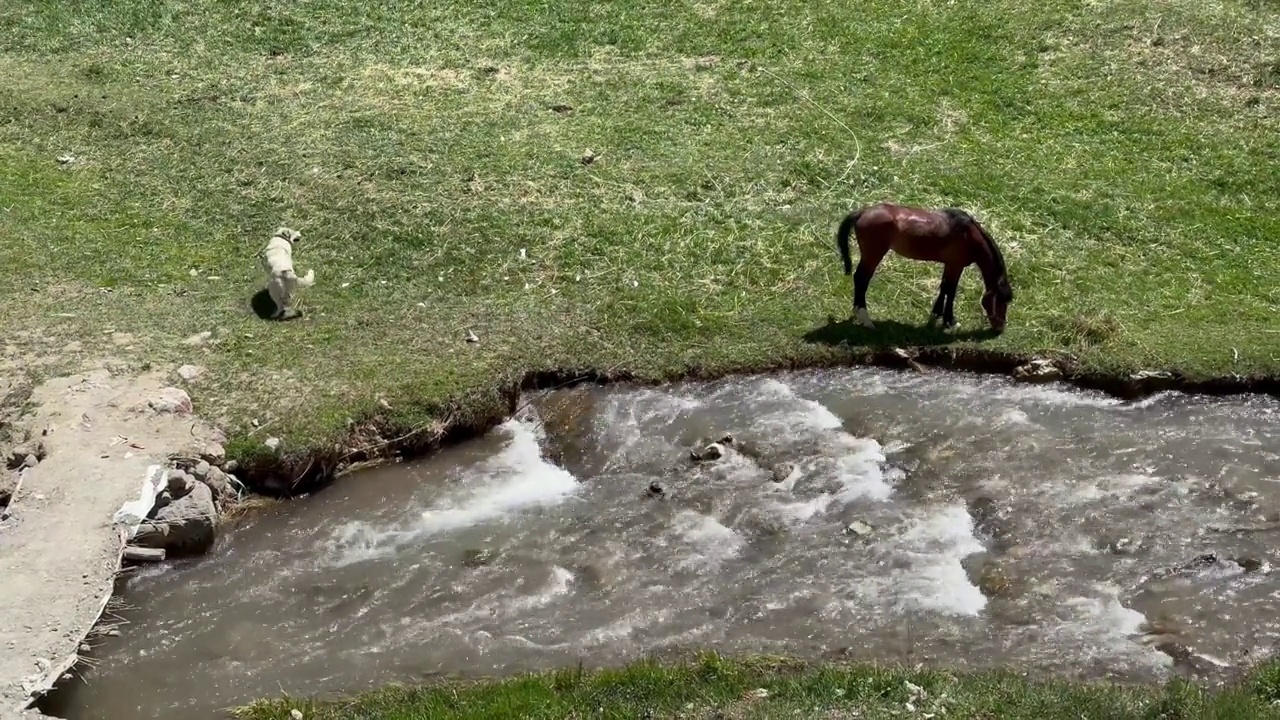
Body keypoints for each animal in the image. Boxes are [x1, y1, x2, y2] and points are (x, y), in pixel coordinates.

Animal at [834, 202, 1013, 333]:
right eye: (1001, 302)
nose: (1000, 328)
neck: (968, 235)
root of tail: (862, 212)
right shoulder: (956, 265)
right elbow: (951, 290)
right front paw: (950, 322)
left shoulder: (950, 264)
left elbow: (944, 288)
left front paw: (935, 316)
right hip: (873, 255)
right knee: (861, 279)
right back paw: (866, 319)